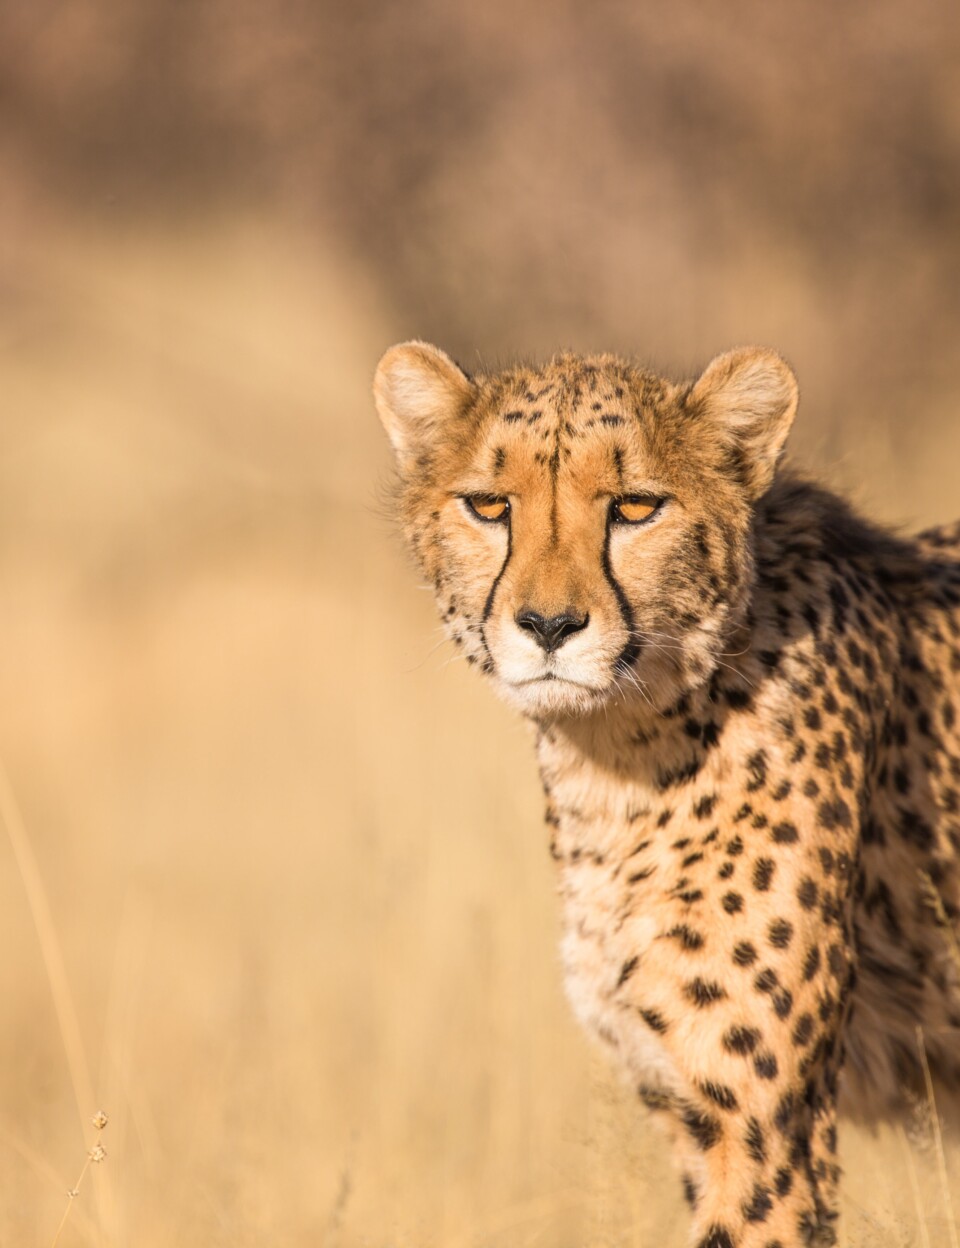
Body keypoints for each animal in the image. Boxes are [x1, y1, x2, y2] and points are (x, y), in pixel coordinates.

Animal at [373, 341, 960, 1248]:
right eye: (488, 505)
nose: (548, 627)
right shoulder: (686, 1104)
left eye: (636, 508)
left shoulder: (761, 1120)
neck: (616, 760)